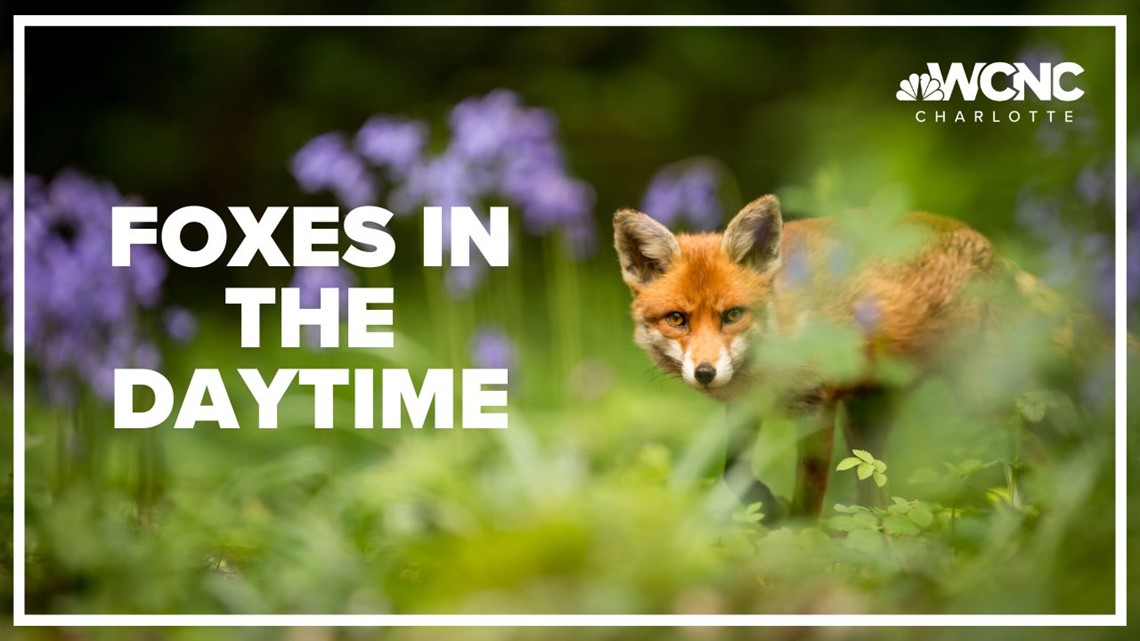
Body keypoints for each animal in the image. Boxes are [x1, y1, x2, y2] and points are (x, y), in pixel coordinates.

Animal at [614, 194, 1094, 523]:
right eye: (677, 319)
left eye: (732, 315)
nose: (706, 373)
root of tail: (988, 246)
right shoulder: (744, 411)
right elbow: (735, 472)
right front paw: (761, 505)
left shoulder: (817, 407)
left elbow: (809, 496)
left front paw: (796, 536)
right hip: (868, 419)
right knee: (874, 497)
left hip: (983, 397)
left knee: (1037, 460)